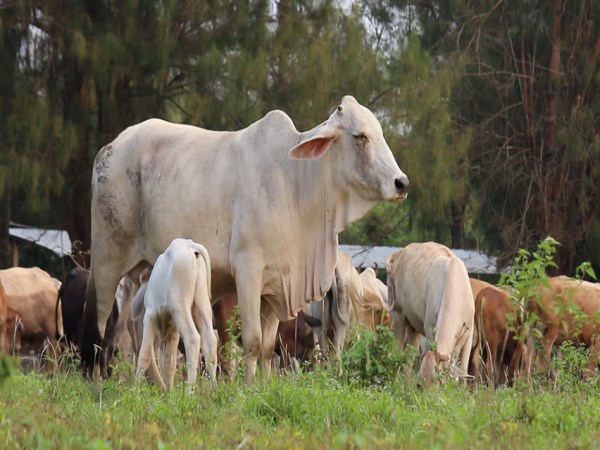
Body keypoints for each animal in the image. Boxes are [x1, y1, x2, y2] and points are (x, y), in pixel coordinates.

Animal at [135, 239, 218, 390]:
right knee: (210, 341)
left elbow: (144, 356)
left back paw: (190, 390)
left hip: (180, 306)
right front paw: (169, 392)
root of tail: (191, 246)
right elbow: (170, 362)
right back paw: (214, 390)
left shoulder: (149, 317)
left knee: (193, 339)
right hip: (201, 304)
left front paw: (134, 389)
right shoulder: (173, 330)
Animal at [386, 243, 476, 384]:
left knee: (410, 353)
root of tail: (398, 254)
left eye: (440, 382)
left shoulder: (467, 334)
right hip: (397, 314)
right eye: (421, 383)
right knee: (396, 350)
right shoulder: (429, 327)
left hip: (413, 325)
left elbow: (462, 369)